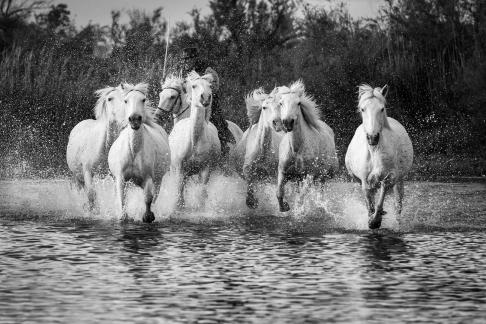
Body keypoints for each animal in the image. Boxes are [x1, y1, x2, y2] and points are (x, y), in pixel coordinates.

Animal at [108, 83, 171, 223]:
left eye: (143, 99)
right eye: (126, 100)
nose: (135, 119)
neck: (134, 151)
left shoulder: (148, 178)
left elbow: (148, 198)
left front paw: (148, 216)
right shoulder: (120, 177)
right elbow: (122, 199)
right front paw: (124, 217)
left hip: (158, 179)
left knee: (154, 196)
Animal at [167, 71, 220, 209]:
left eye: (210, 86)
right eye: (194, 86)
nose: (205, 98)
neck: (194, 141)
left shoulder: (206, 168)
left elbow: (202, 192)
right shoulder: (179, 168)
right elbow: (179, 191)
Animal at [274, 80, 338, 213]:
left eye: (298, 103)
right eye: (281, 103)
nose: (288, 122)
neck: (296, 149)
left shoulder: (310, 174)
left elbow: (301, 197)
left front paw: (299, 211)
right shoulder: (283, 171)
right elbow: (279, 192)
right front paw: (285, 207)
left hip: (322, 176)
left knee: (321, 192)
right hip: (299, 178)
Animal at [346, 85, 414, 229]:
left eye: (382, 108)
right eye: (363, 109)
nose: (373, 138)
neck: (374, 152)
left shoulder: (390, 177)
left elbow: (381, 198)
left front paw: (375, 221)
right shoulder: (365, 181)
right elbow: (369, 203)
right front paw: (371, 220)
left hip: (400, 180)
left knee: (398, 204)